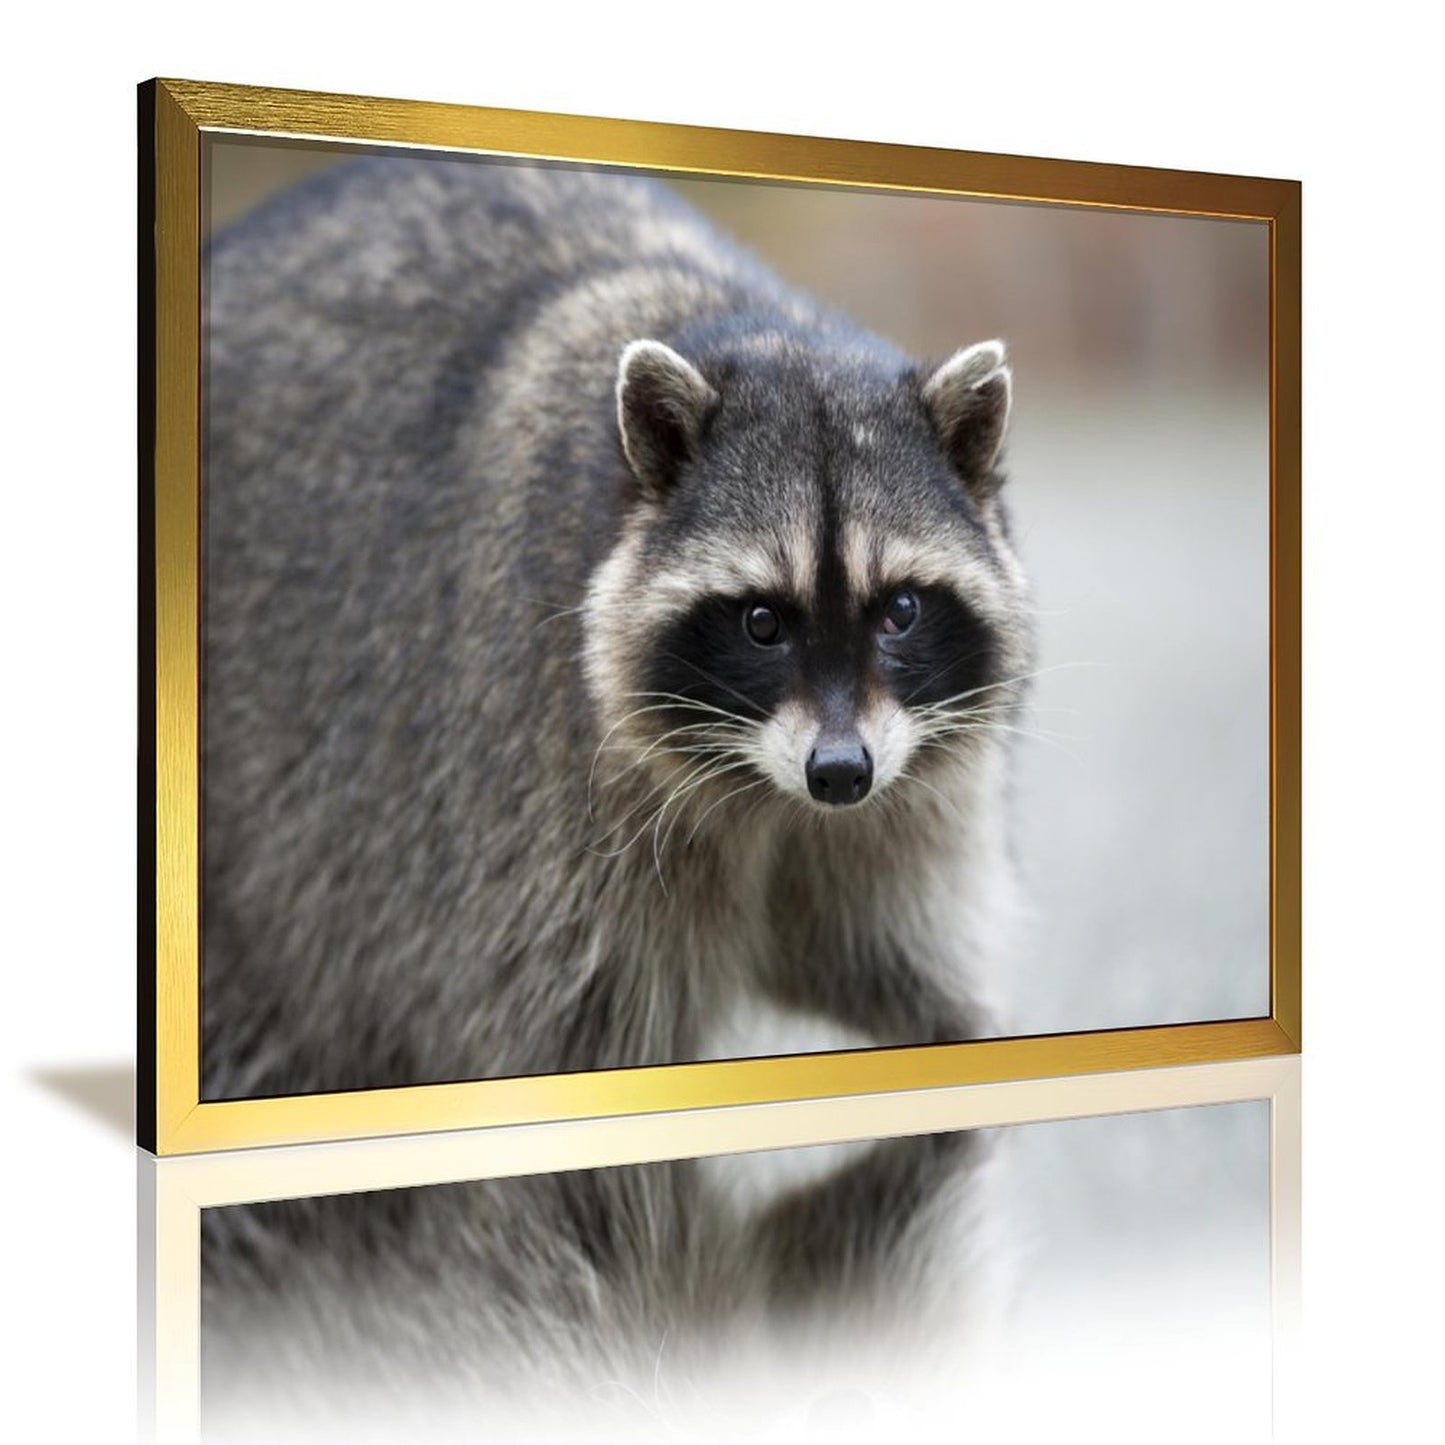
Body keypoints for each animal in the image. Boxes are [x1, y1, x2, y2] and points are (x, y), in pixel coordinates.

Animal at [201, 154, 1033, 1103]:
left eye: (898, 610)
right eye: (760, 622)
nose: (839, 772)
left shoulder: (914, 813)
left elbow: (933, 997)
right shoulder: (547, 807)